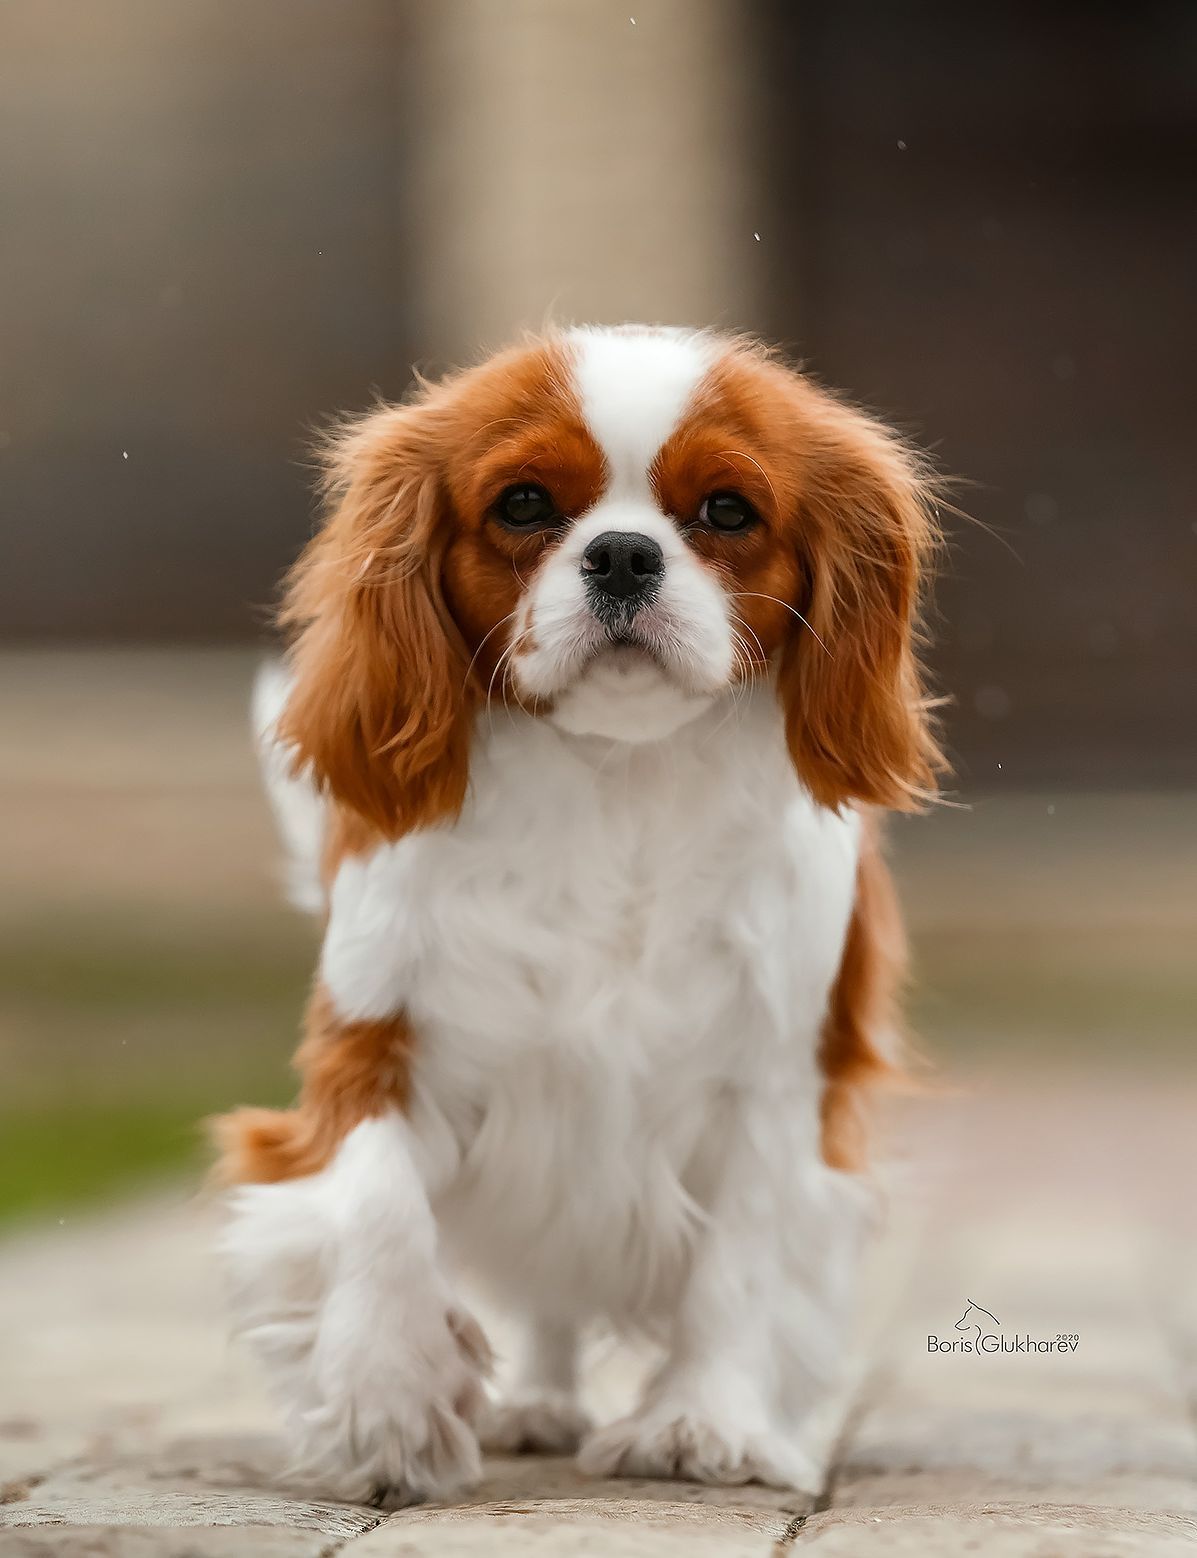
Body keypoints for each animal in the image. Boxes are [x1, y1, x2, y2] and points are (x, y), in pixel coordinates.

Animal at [215, 325, 947, 1508]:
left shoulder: (778, 1085)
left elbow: (741, 1259)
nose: (623, 555)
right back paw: (538, 1405)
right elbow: (374, 1205)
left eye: (728, 512)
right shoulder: (372, 1046)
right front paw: (389, 1403)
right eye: (523, 504)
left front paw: (704, 1424)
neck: (619, 776)